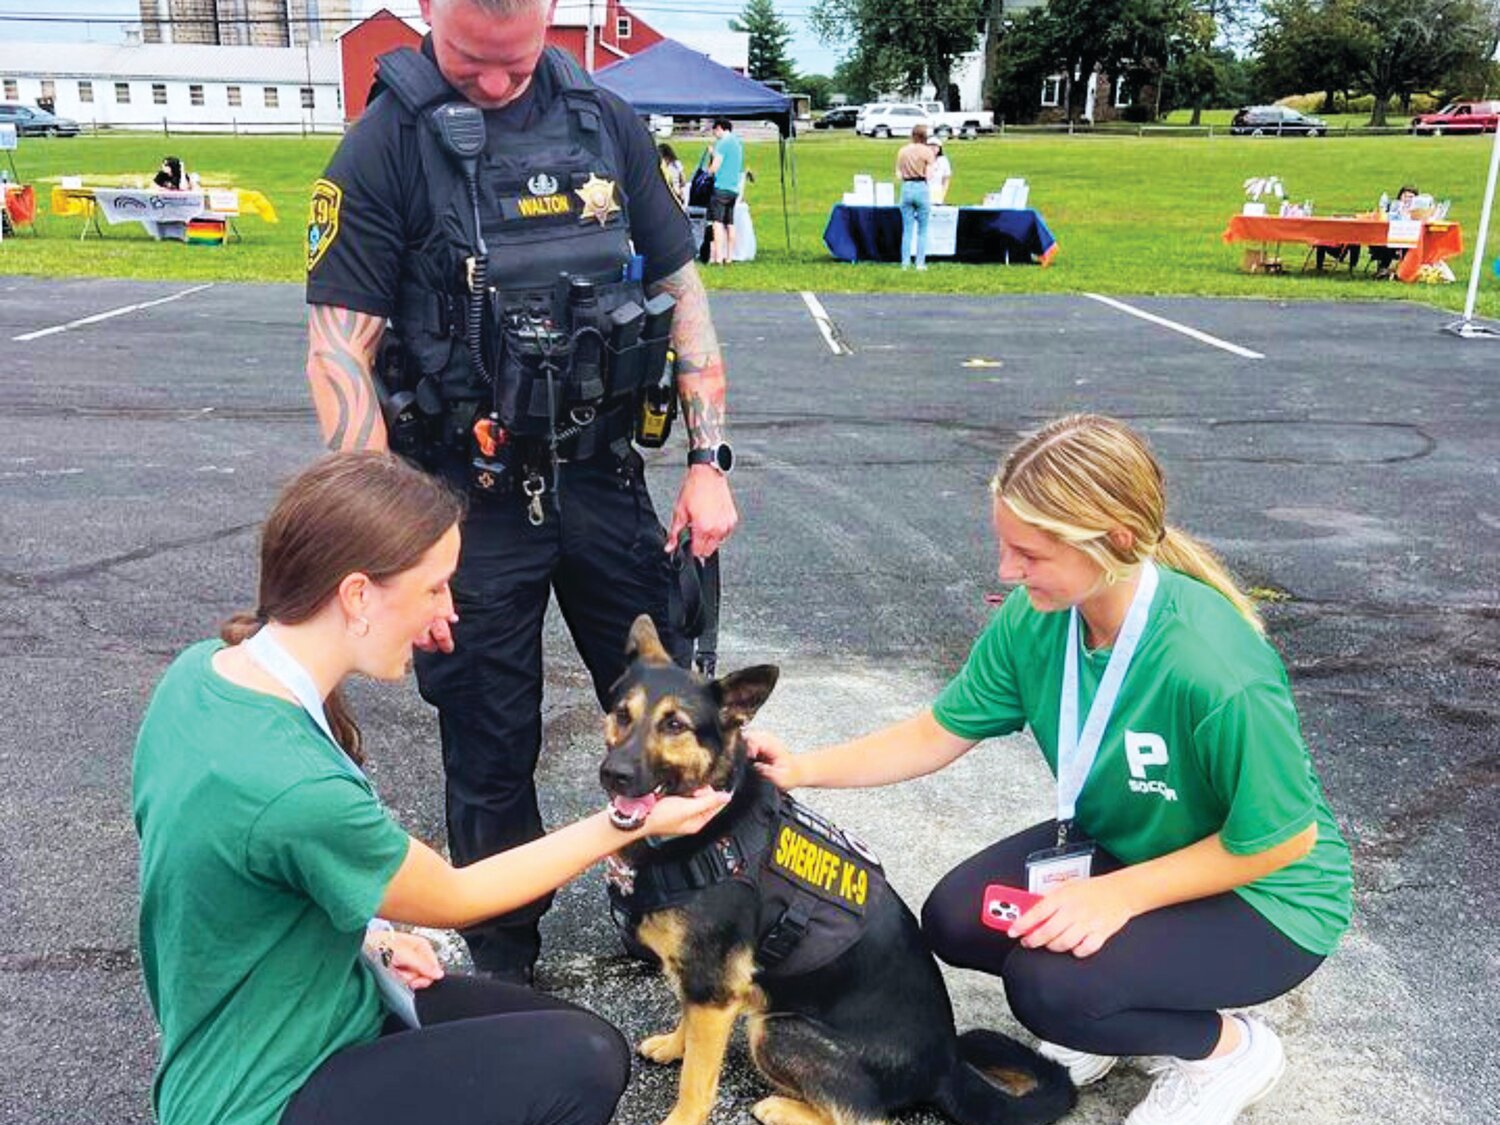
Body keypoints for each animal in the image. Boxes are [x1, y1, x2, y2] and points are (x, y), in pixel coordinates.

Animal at [600, 618, 1080, 1125]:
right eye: (622, 714)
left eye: (674, 725)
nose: (613, 774)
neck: (714, 827)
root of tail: (946, 1066)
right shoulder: (702, 980)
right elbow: (688, 1024)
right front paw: (675, 1044)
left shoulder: (716, 989)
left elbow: (696, 1080)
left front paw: (681, 1110)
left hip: (776, 1029)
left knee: (865, 1115)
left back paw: (783, 1107)